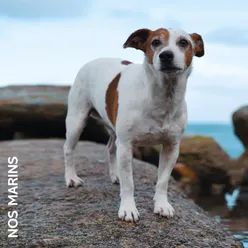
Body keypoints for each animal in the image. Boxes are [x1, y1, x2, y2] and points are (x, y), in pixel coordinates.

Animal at [64, 27, 205, 223]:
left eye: (184, 42)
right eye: (155, 42)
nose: (166, 55)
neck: (162, 97)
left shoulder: (171, 147)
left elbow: (163, 181)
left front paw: (162, 205)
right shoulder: (126, 145)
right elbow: (129, 183)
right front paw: (128, 209)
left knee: (110, 148)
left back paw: (115, 175)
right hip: (77, 120)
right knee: (69, 149)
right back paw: (71, 178)